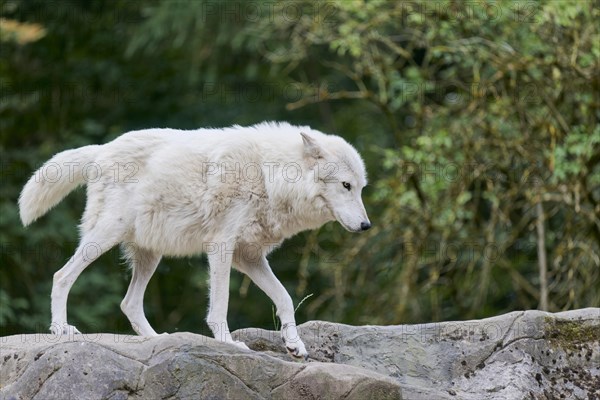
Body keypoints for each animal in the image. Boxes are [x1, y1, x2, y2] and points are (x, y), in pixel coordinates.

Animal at [18, 122, 368, 360]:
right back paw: (61, 329)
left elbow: (284, 297)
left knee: (128, 303)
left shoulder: (249, 256)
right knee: (61, 276)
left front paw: (295, 345)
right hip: (105, 237)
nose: (366, 225)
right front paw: (227, 342)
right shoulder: (222, 247)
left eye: (361, 187)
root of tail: (101, 149)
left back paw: (157, 340)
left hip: (150, 255)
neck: (270, 175)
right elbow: (221, 304)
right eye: (346, 185)